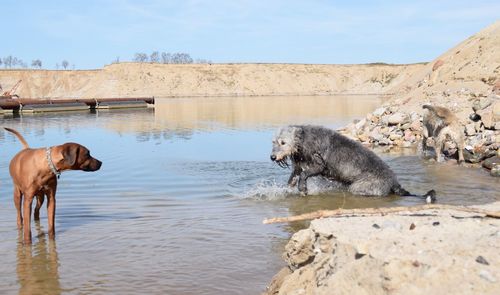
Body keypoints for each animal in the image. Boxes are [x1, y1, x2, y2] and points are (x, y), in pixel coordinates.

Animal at [272, 125, 436, 204]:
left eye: (283, 142)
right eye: (274, 142)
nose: (272, 157)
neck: (303, 140)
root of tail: (394, 182)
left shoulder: (318, 164)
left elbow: (305, 174)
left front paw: (303, 188)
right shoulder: (298, 165)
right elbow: (294, 176)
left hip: (360, 187)